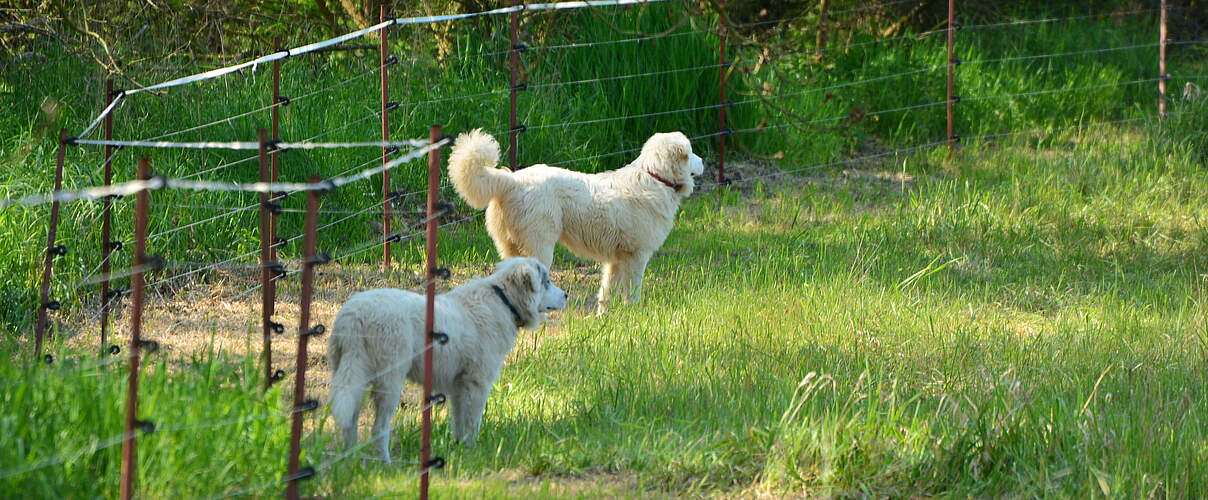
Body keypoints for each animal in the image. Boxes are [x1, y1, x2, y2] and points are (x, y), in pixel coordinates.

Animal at [323, 257, 562, 461]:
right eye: (547, 282)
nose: (566, 296)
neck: (504, 301)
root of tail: (354, 317)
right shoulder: (477, 383)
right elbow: (472, 422)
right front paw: (473, 452)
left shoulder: (459, 385)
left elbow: (458, 421)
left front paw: (460, 448)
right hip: (389, 380)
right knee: (378, 428)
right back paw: (386, 463)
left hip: (351, 374)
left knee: (349, 423)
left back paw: (352, 460)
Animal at [449, 128, 705, 311]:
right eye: (691, 152)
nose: (702, 160)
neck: (656, 178)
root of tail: (512, 180)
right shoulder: (636, 257)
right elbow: (632, 292)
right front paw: (635, 314)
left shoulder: (615, 260)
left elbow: (607, 293)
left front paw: (606, 319)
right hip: (539, 247)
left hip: (510, 247)